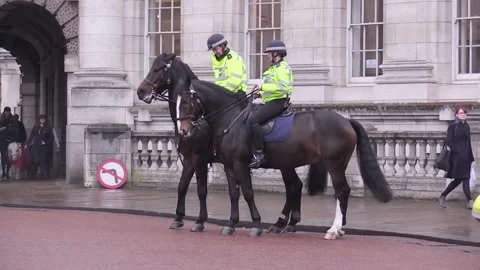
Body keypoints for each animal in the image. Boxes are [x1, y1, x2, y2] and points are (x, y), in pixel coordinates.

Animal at [176, 83, 394, 238]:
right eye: (177, 104)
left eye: (186, 103)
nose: (183, 131)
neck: (231, 120)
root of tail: (346, 120)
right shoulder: (229, 166)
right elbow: (234, 194)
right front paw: (231, 224)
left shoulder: (237, 164)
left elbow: (247, 193)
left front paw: (256, 224)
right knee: (298, 187)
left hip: (335, 164)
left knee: (341, 191)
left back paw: (334, 229)